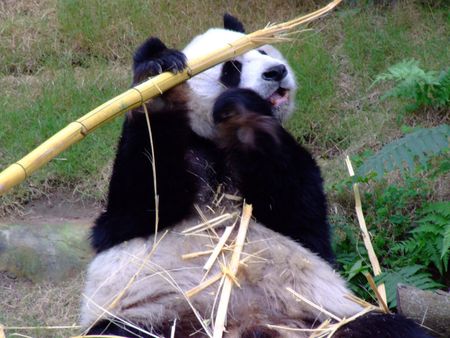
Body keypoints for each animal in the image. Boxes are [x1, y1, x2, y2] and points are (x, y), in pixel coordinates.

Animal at [81, 13, 432, 338]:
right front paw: (157, 78)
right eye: (230, 68)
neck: (214, 143)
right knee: (115, 331)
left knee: (386, 327)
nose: (276, 71)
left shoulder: (296, 198)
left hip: (325, 316)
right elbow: (135, 207)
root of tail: (251, 326)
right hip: (153, 314)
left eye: (263, 50)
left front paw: (248, 114)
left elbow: (301, 217)